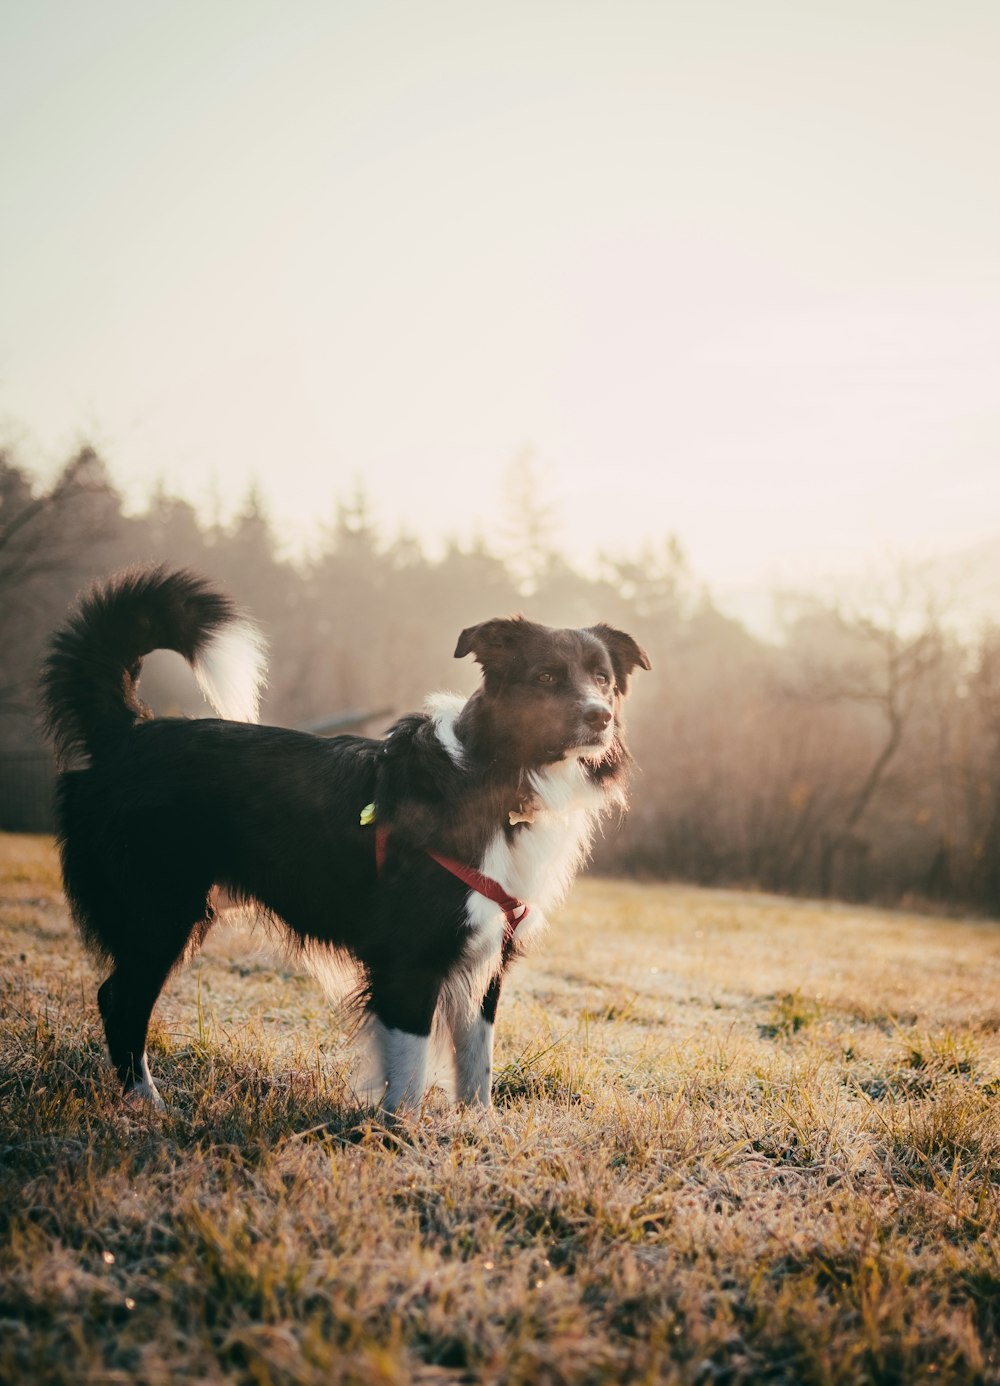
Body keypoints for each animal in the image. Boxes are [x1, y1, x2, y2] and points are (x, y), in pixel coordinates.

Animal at [40, 565, 645, 1114]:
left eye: (603, 678)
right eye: (545, 677)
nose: (601, 716)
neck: (498, 776)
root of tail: (129, 729)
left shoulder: (488, 954)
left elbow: (477, 1066)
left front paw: (480, 1135)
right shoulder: (411, 955)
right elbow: (409, 1073)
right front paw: (402, 1140)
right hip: (159, 913)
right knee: (120, 998)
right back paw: (147, 1104)